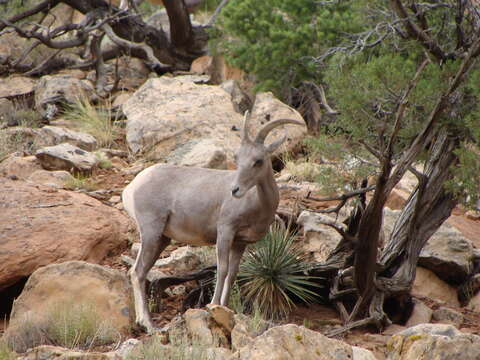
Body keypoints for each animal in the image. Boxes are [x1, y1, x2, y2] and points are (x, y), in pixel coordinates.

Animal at [123, 113, 304, 332]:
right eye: (237, 158)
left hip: (161, 239)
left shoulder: (240, 242)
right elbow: (222, 269)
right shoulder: (225, 232)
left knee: (139, 272)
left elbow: (233, 273)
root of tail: (133, 187)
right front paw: (213, 305)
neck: (256, 203)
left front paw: (226, 308)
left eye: (258, 161)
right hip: (151, 233)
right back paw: (149, 326)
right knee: (137, 272)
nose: (235, 190)